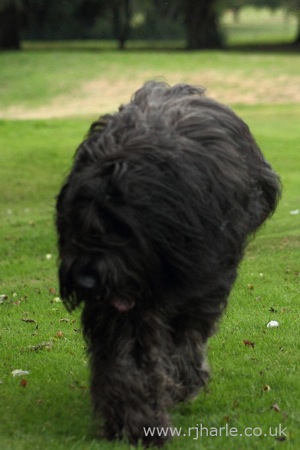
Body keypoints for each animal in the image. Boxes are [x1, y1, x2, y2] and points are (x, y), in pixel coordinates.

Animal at [56, 81, 282, 446]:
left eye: (119, 228)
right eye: (74, 225)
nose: (87, 282)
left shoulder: (198, 276)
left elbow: (185, 336)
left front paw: (179, 387)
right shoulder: (123, 301)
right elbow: (124, 356)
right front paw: (135, 420)